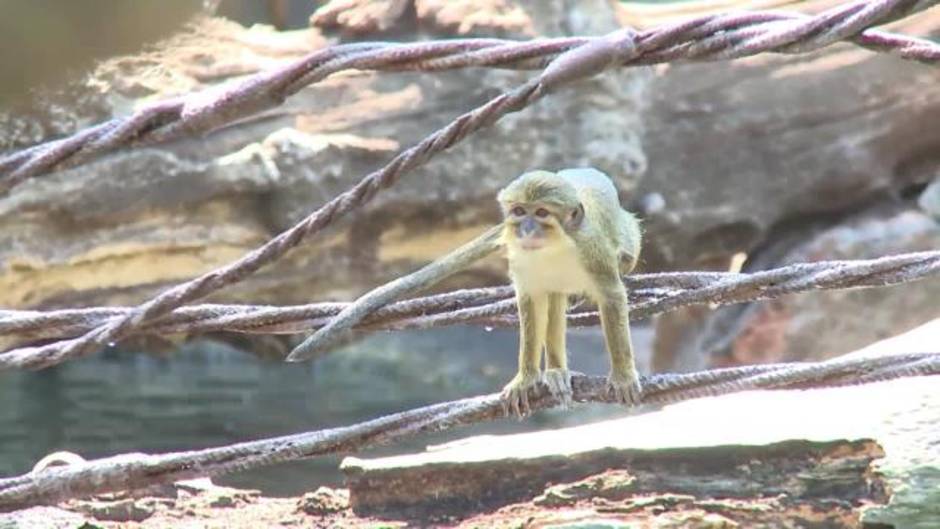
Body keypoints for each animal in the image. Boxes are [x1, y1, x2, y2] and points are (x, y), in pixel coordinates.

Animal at [286, 167, 644, 414]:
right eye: (519, 211)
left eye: (541, 213)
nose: (526, 229)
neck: (555, 246)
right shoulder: (523, 262)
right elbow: (530, 303)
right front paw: (526, 377)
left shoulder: (592, 250)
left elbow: (611, 295)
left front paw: (623, 375)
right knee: (552, 299)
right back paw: (556, 371)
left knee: (621, 255)